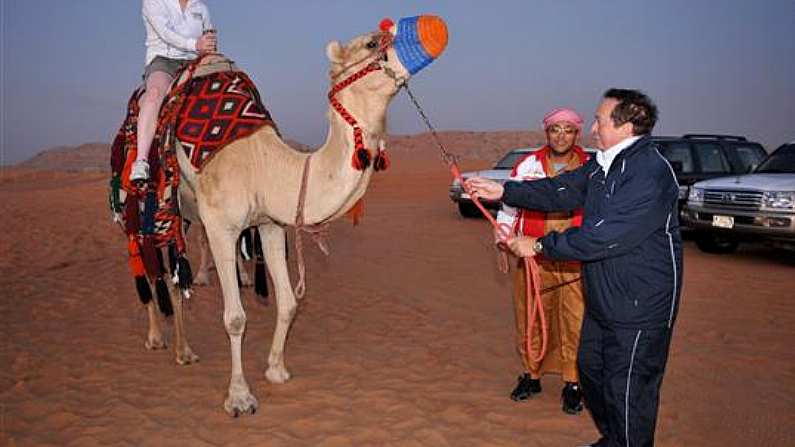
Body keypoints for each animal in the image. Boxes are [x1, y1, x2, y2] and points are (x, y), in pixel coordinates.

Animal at [148, 16, 448, 416]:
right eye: (372, 43)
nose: (437, 26)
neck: (262, 163)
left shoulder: (271, 223)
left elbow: (289, 302)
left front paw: (276, 370)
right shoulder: (220, 224)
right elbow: (235, 317)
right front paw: (239, 396)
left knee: (173, 276)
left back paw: (184, 346)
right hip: (155, 202)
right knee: (151, 268)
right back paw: (163, 341)